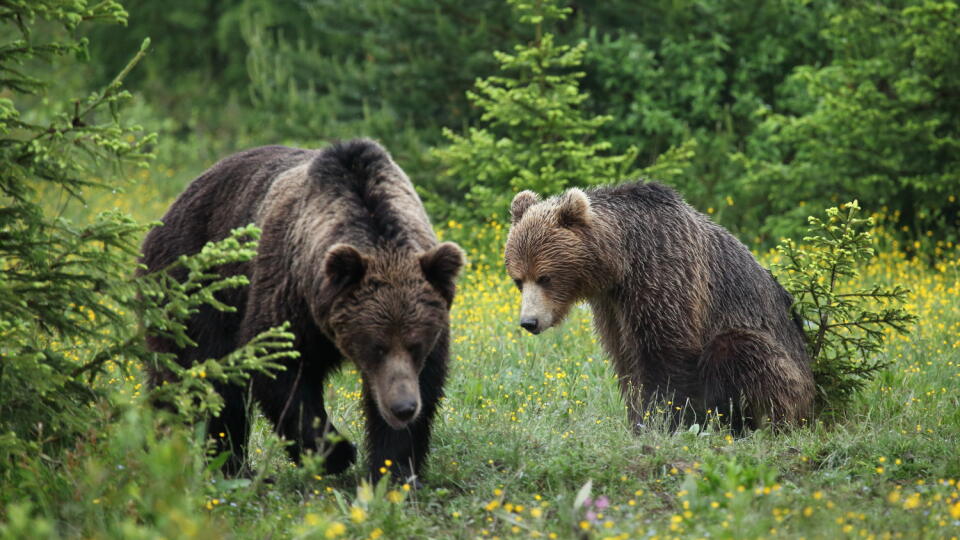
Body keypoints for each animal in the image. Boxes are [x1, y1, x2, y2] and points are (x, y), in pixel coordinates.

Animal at [139, 138, 464, 480]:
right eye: (376, 347)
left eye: (416, 345)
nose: (403, 407)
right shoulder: (287, 297)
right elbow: (280, 371)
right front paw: (337, 453)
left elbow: (426, 384)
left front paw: (394, 469)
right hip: (200, 290)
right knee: (210, 378)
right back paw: (223, 464)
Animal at [506, 184, 812, 432]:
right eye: (518, 280)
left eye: (545, 277)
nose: (529, 322)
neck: (622, 262)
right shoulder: (611, 306)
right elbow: (625, 360)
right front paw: (637, 422)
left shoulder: (664, 276)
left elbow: (664, 355)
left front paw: (664, 421)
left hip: (785, 365)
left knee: (737, 349)